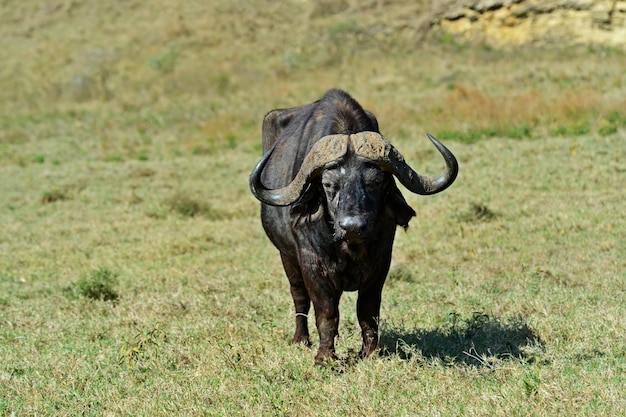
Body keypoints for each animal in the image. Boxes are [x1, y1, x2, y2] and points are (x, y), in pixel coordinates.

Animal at [249, 88, 458, 364]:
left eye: (375, 182)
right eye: (328, 185)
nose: (353, 226)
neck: (349, 248)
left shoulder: (381, 264)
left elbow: (367, 312)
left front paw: (370, 352)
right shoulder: (312, 265)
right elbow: (326, 313)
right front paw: (325, 357)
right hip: (286, 257)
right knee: (299, 297)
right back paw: (301, 339)